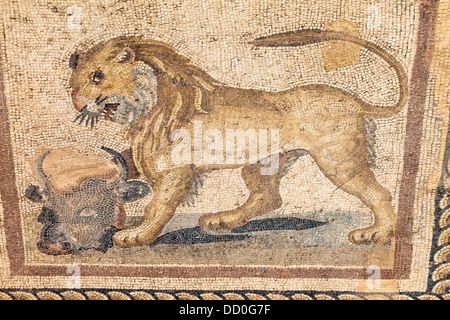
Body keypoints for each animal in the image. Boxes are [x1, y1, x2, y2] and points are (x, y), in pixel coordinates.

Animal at [67, 29, 408, 248]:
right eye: (75, 81)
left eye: (98, 76)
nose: (77, 102)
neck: (149, 105)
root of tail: (357, 102)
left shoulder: (177, 171)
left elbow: (157, 205)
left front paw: (136, 235)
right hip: (261, 163)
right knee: (268, 197)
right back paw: (221, 221)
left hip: (338, 160)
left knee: (379, 193)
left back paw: (376, 234)